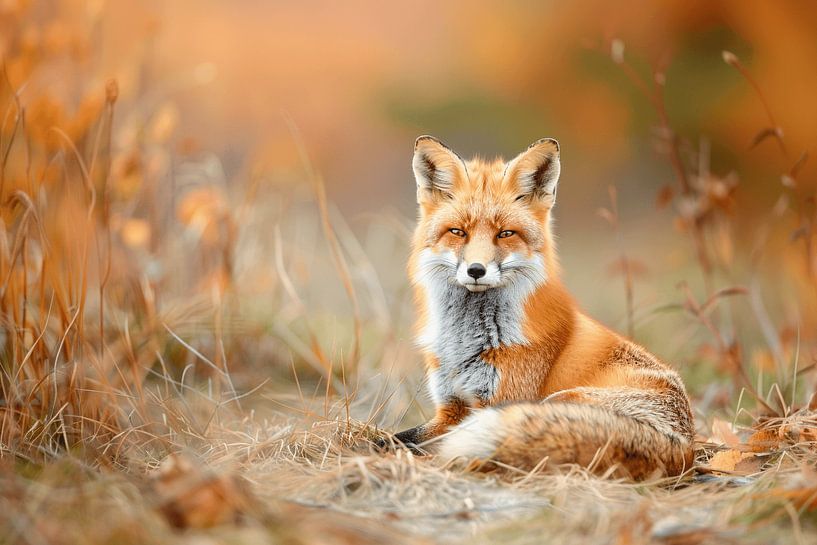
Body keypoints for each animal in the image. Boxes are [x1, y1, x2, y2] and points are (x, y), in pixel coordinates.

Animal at [387, 135, 695, 480]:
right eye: (458, 232)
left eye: (505, 234)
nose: (476, 270)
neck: (465, 343)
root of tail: (686, 447)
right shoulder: (450, 409)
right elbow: (393, 437)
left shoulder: (496, 402)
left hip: (557, 400)